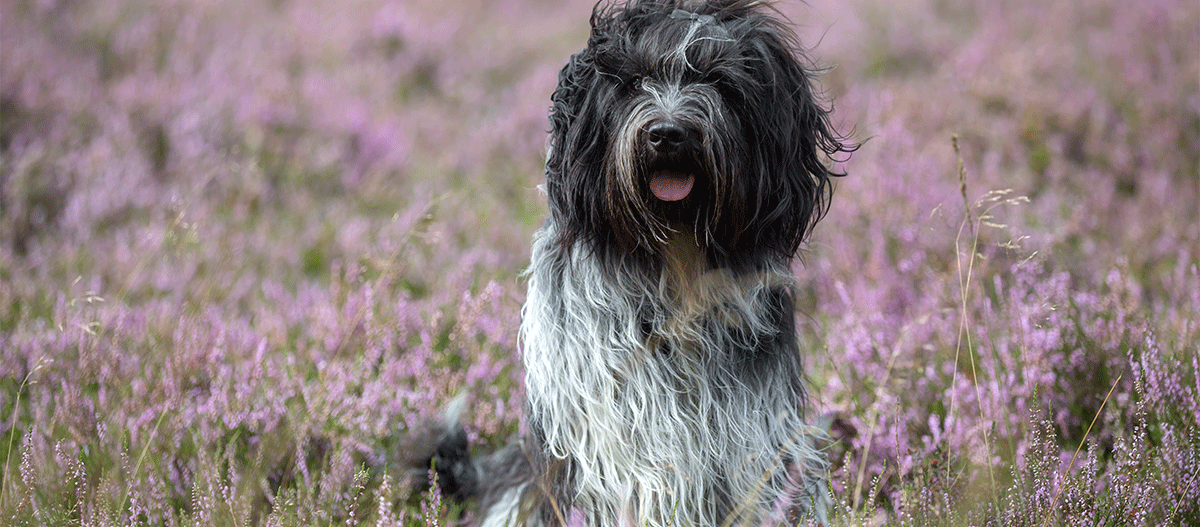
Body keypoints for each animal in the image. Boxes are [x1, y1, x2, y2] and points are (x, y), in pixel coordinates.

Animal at [420, 0, 854, 525]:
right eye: (634, 82)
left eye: (717, 80)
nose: (668, 134)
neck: (677, 255)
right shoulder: (616, 432)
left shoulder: (756, 428)